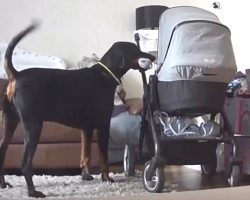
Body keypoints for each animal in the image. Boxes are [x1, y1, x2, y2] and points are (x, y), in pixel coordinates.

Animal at [0, 22, 154, 198]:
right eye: (136, 50)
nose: (153, 58)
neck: (105, 74)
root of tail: (15, 76)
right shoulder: (103, 125)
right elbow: (103, 157)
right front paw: (107, 178)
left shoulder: (86, 128)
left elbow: (85, 154)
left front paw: (86, 176)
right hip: (33, 125)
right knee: (25, 163)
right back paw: (33, 192)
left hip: (10, 120)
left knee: (2, 152)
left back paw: (3, 184)